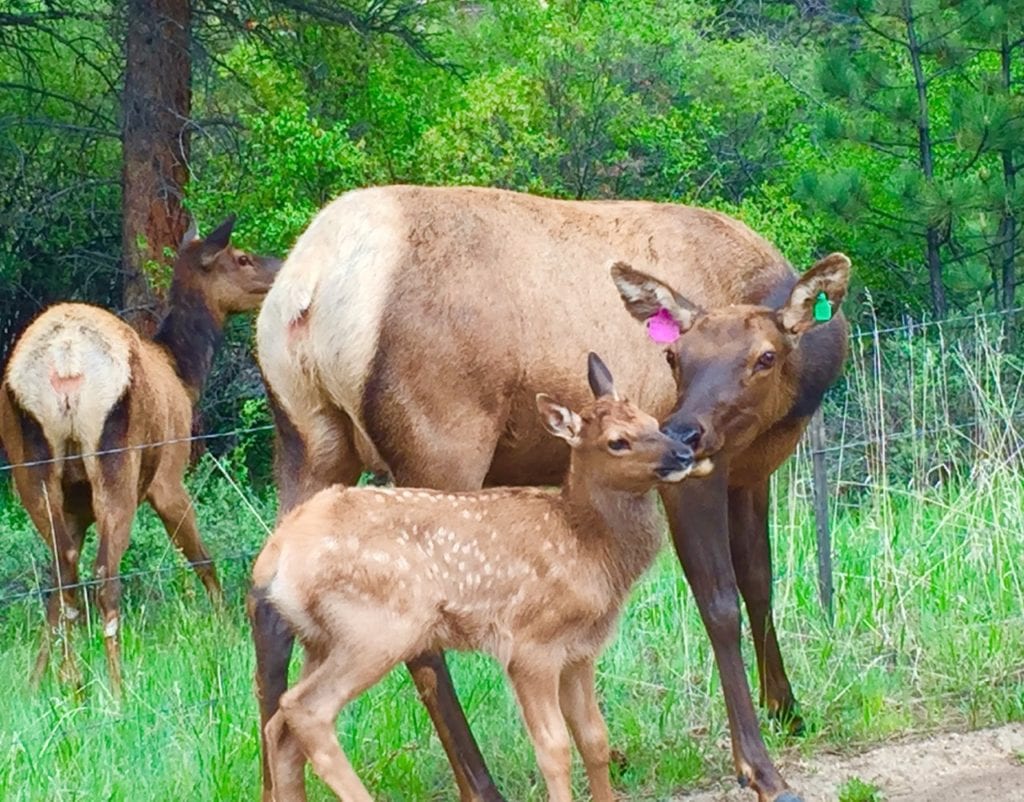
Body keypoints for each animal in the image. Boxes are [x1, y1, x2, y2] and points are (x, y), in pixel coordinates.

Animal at [0, 215, 280, 698]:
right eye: (242, 257)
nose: (282, 265)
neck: (183, 374)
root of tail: (65, 362)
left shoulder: (75, 505)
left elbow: (57, 591)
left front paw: (38, 683)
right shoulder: (169, 476)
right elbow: (204, 559)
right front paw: (227, 634)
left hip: (30, 468)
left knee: (64, 571)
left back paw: (74, 685)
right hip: (119, 462)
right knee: (105, 575)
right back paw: (116, 691)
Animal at [254, 353, 698, 802]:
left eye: (651, 421)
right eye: (617, 442)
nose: (683, 453)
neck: (587, 545)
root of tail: (276, 555)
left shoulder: (580, 652)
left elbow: (595, 738)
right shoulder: (530, 644)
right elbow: (554, 748)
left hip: (322, 639)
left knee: (281, 727)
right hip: (377, 629)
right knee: (306, 710)